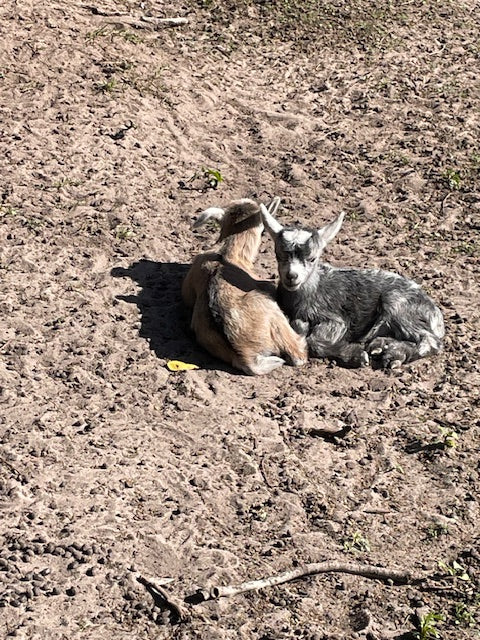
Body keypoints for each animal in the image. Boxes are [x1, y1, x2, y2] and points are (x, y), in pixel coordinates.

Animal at [260, 204, 445, 369]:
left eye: (312, 258)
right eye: (278, 255)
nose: (292, 276)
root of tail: (436, 314)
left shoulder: (335, 319)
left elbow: (314, 341)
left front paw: (357, 355)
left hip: (399, 305)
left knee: (430, 341)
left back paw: (394, 355)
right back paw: (382, 346)